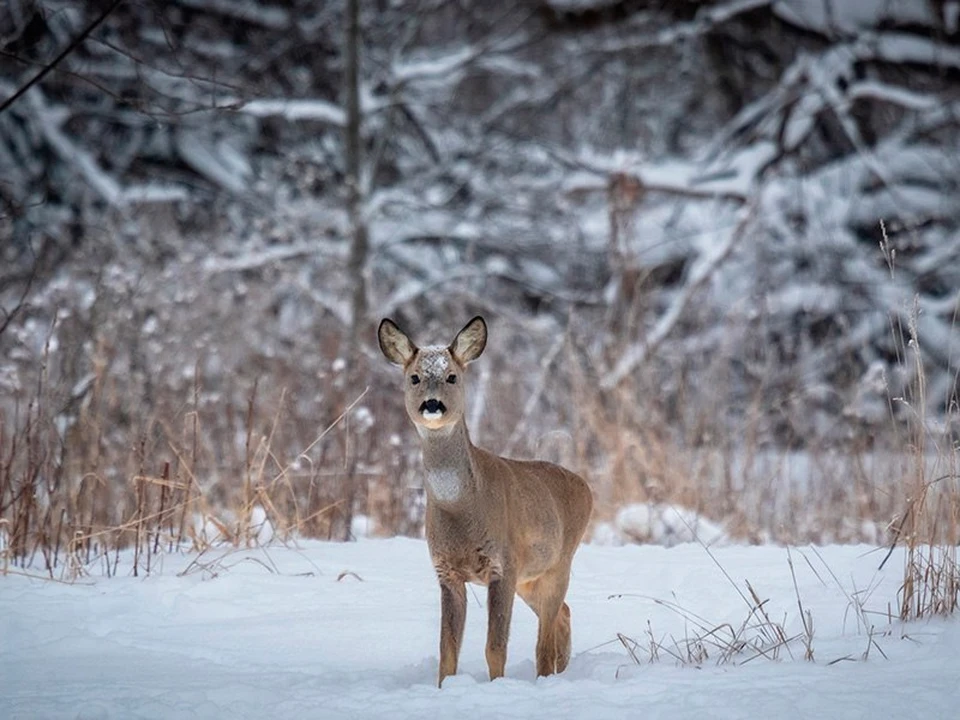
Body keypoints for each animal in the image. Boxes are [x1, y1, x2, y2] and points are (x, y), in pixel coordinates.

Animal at [376, 316, 592, 688]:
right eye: (414, 377)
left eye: (452, 376)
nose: (432, 404)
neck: (462, 509)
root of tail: (584, 485)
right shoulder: (447, 571)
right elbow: (448, 650)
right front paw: (444, 688)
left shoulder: (502, 564)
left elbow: (495, 646)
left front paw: (497, 688)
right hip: (530, 579)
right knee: (563, 614)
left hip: (558, 563)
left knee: (545, 639)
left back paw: (547, 679)